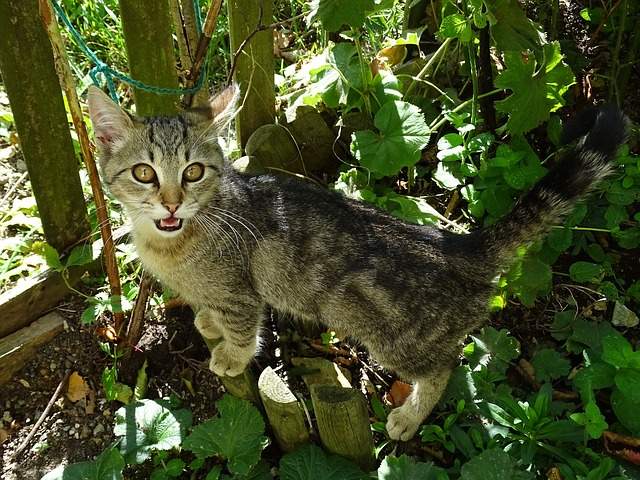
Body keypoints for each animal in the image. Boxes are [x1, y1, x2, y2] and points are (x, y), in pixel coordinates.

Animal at [87, 84, 628, 440]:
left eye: (193, 172)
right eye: (145, 173)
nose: (172, 203)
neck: (174, 243)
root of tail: (462, 245)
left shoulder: (241, 292)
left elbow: (244, 327)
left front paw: (231, 355)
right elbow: (213, 312)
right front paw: (207, 322)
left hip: (399, 340)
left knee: (445, 368)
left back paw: (409, 417)